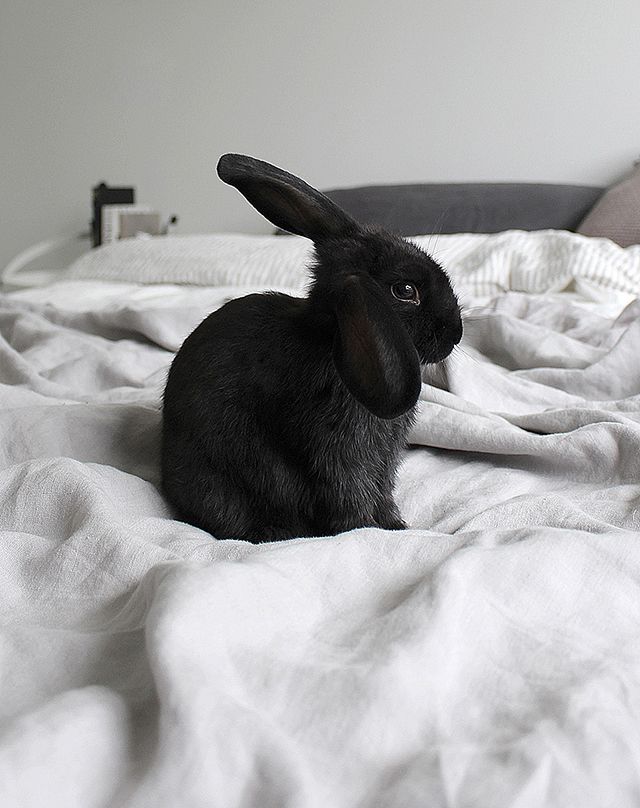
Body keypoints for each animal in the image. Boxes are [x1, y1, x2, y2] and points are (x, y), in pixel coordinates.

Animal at [160, 153, 460, 544]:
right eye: (406, 291)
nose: (456, 334)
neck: (330, 337)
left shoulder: (381, 461)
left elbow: (380, 491)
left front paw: (394, 523)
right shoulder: (339, 451)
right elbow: (351, 492)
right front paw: (371, 528)